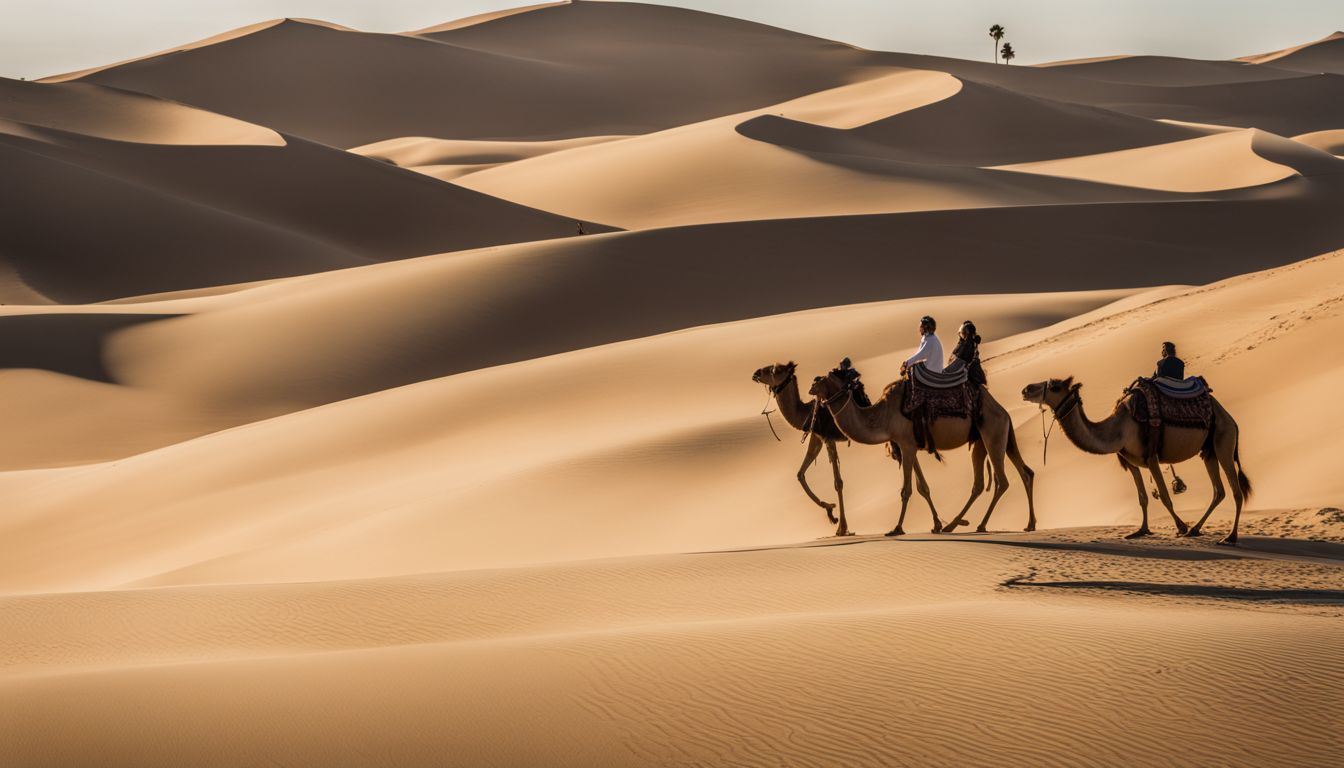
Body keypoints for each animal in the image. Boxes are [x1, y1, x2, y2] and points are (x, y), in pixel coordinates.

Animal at [751, 362, 851, 536]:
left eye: (775, 370)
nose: (756, 373)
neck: (806, 413)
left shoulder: (828, 437)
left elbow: (838, 482)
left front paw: (842, 528)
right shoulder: (816, 435)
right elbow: (800, 474)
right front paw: (830, 511)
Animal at [809, 367, 1036, 536]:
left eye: (824, 379)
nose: (811, 385)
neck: (883, 417)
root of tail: (1004, 412)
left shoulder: (906, 444)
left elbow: (906, 489)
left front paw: (897, 528)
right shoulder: (909, 445)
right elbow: (922, 487)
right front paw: (936, 524)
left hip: (993, 435)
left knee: (1002, 481)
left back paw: (980, 524)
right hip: (989, 440)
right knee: (1009, 476)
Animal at [1021, 377, 1251, 545]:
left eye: (1054, 386)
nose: (1026, 389)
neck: (1119, 428)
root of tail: (1232, 420)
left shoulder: (1151, 457)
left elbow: (1165, 497)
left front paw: (1180, 526)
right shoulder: (1131, 462)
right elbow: (1143, 498)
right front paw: (1141, 530)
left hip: (1224, 441)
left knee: (1236, 491)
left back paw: (1229, 537)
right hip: (1208, 451)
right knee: (1219, 490)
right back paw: (1196, 530)